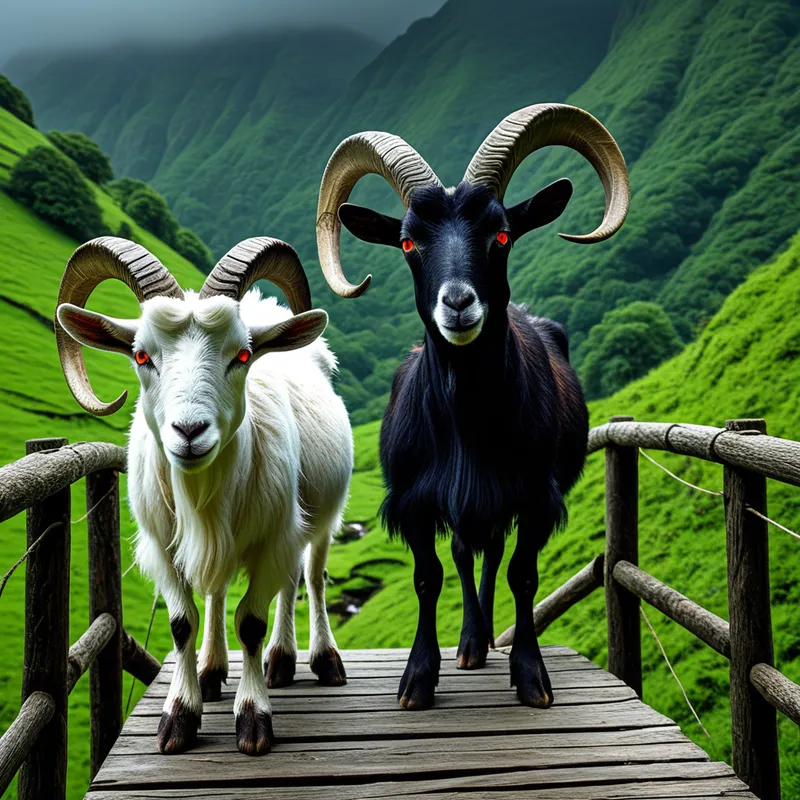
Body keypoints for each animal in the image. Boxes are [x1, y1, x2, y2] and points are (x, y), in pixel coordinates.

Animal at [54, 237, 352, 755]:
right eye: (141, 356)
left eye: (243, 355)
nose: (189, 432)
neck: (202, 491)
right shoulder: (161, 546)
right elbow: (183, 623)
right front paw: (180, 714)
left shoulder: (273, 537)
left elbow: (251, 622)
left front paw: (253, 717)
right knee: (221, 590)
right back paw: (220, 669)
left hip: (320, 516)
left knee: (308, 577)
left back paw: (313, 658)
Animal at [314, 104, 629, 710]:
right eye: (408, 243)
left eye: (501, 234)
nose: (458, 303)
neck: (465, 425)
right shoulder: (414, 501)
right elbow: (428, 577)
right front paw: (417, 678)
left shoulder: (533, 497)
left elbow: (522, 576)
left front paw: (530, 676)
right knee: (467, 553)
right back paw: (469, 642)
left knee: (492, 552)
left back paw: (481, 641)